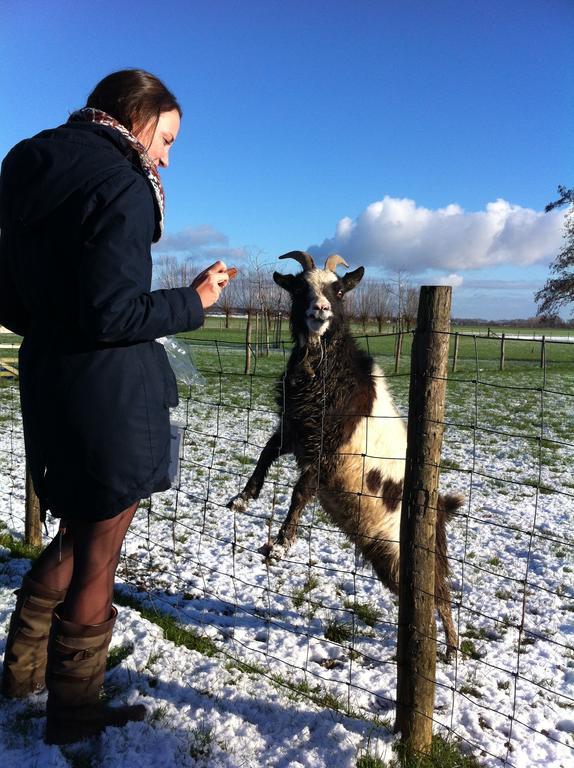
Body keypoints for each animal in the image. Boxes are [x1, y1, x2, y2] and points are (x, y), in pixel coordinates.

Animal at [230, 250, 464, 656]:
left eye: (338, 290)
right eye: (298, 287)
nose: (320, 310)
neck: (325, 372)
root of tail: (441, 508)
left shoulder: (328, 451)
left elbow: (301, 490)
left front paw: (280, 546)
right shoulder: (296, 430)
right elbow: (265, 453)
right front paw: (243, 498)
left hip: (421, 554)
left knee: (441, 594)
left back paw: (451, 650)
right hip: (387, 556)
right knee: (424, 594)